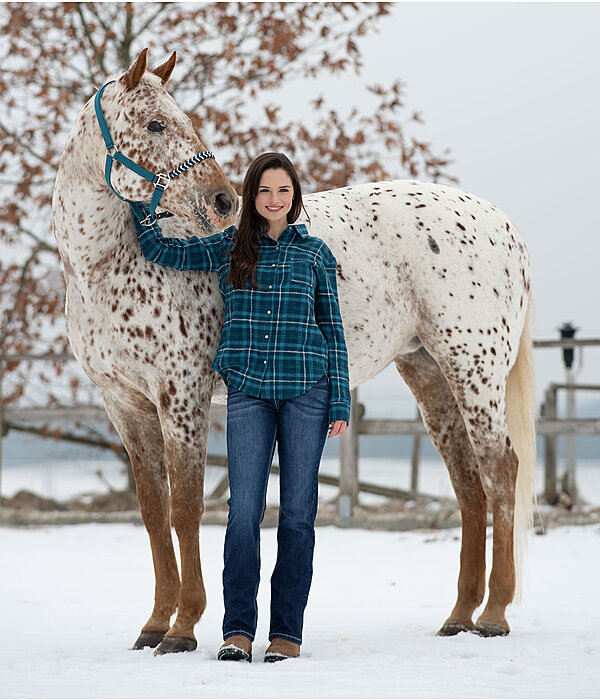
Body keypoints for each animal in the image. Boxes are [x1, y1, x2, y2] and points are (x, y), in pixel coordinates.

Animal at [52, 50, 536, 656]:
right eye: (156, 124)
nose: (222, 201)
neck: (110, 267)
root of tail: (504, 224)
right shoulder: (125, 405)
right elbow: (153, 513)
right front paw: (155, 624)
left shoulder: (181, 397)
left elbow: (185, 510)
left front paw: (183, 628)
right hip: (428, 372)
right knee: (469, 483)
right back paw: (459, 615)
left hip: (474, 368)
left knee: (500, 471)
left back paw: (494, 614)